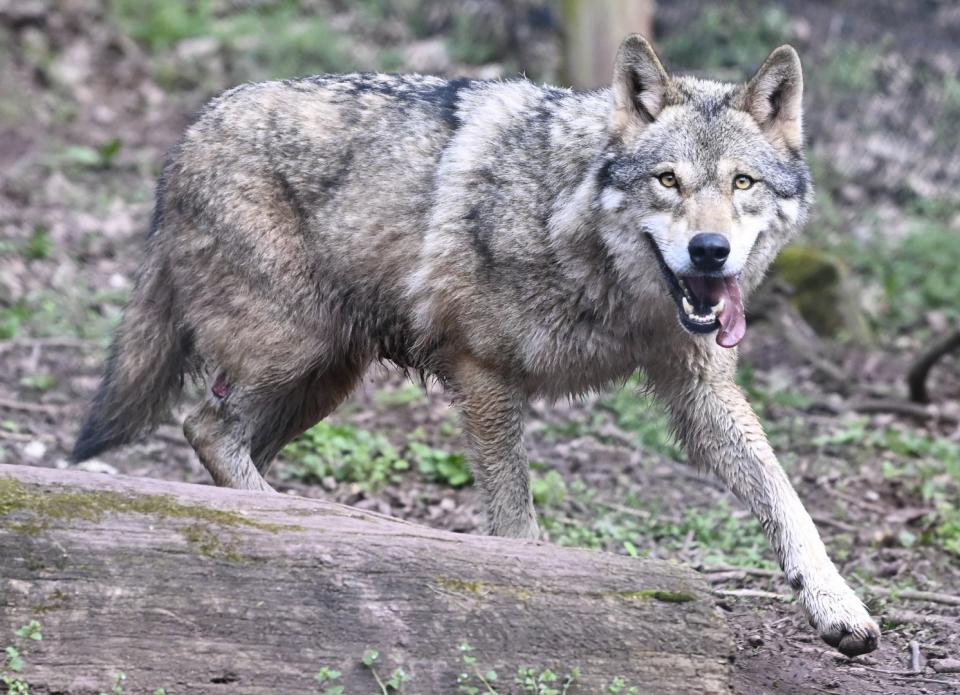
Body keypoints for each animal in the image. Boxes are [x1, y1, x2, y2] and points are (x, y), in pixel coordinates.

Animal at [75, 35, 880, 656]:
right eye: (667, 181)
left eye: (742, 183)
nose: (710, 251)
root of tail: (190, 131)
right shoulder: (484, 374)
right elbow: (516, 520)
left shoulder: (701, 392)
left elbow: (788, 499)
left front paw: (839, 606)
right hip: (295, 353)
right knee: (203, 424)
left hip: (324, 376)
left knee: (222, 438)